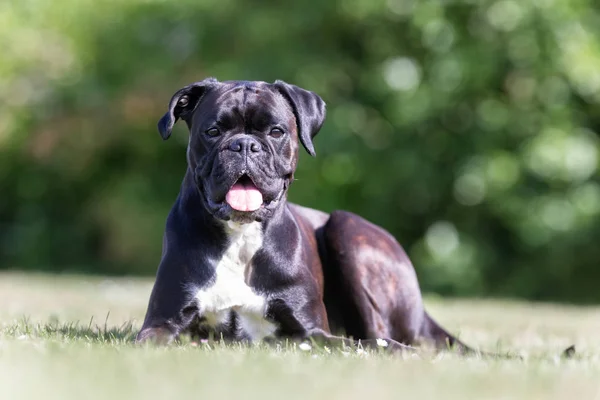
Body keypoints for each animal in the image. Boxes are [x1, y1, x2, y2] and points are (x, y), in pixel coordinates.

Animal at [136, 78, 492, 354]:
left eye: (276, 131)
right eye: (212, 130)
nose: (244, 145)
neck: (240, 238)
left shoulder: (312, 333)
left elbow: (360, 344)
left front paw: (395, 352)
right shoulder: (160, 325)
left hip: (347, 229)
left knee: (376, 333)